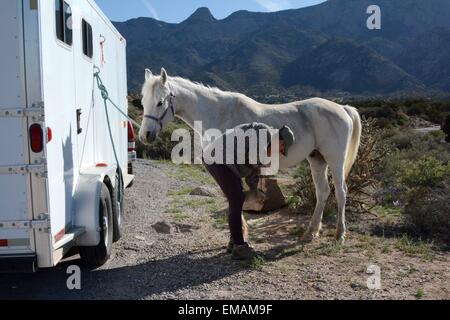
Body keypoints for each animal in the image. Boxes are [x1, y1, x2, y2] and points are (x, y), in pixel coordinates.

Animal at [141, 68, 362, 242]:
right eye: (143, 101)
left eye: (160, 102)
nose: (146, 135)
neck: (219, 113)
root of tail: (342, 108)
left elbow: (235, 197)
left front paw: (241, 235)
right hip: (317, 160)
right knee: (323, 192)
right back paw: (311, 232)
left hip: (335, 160)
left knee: (341, 192)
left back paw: (339, 234)